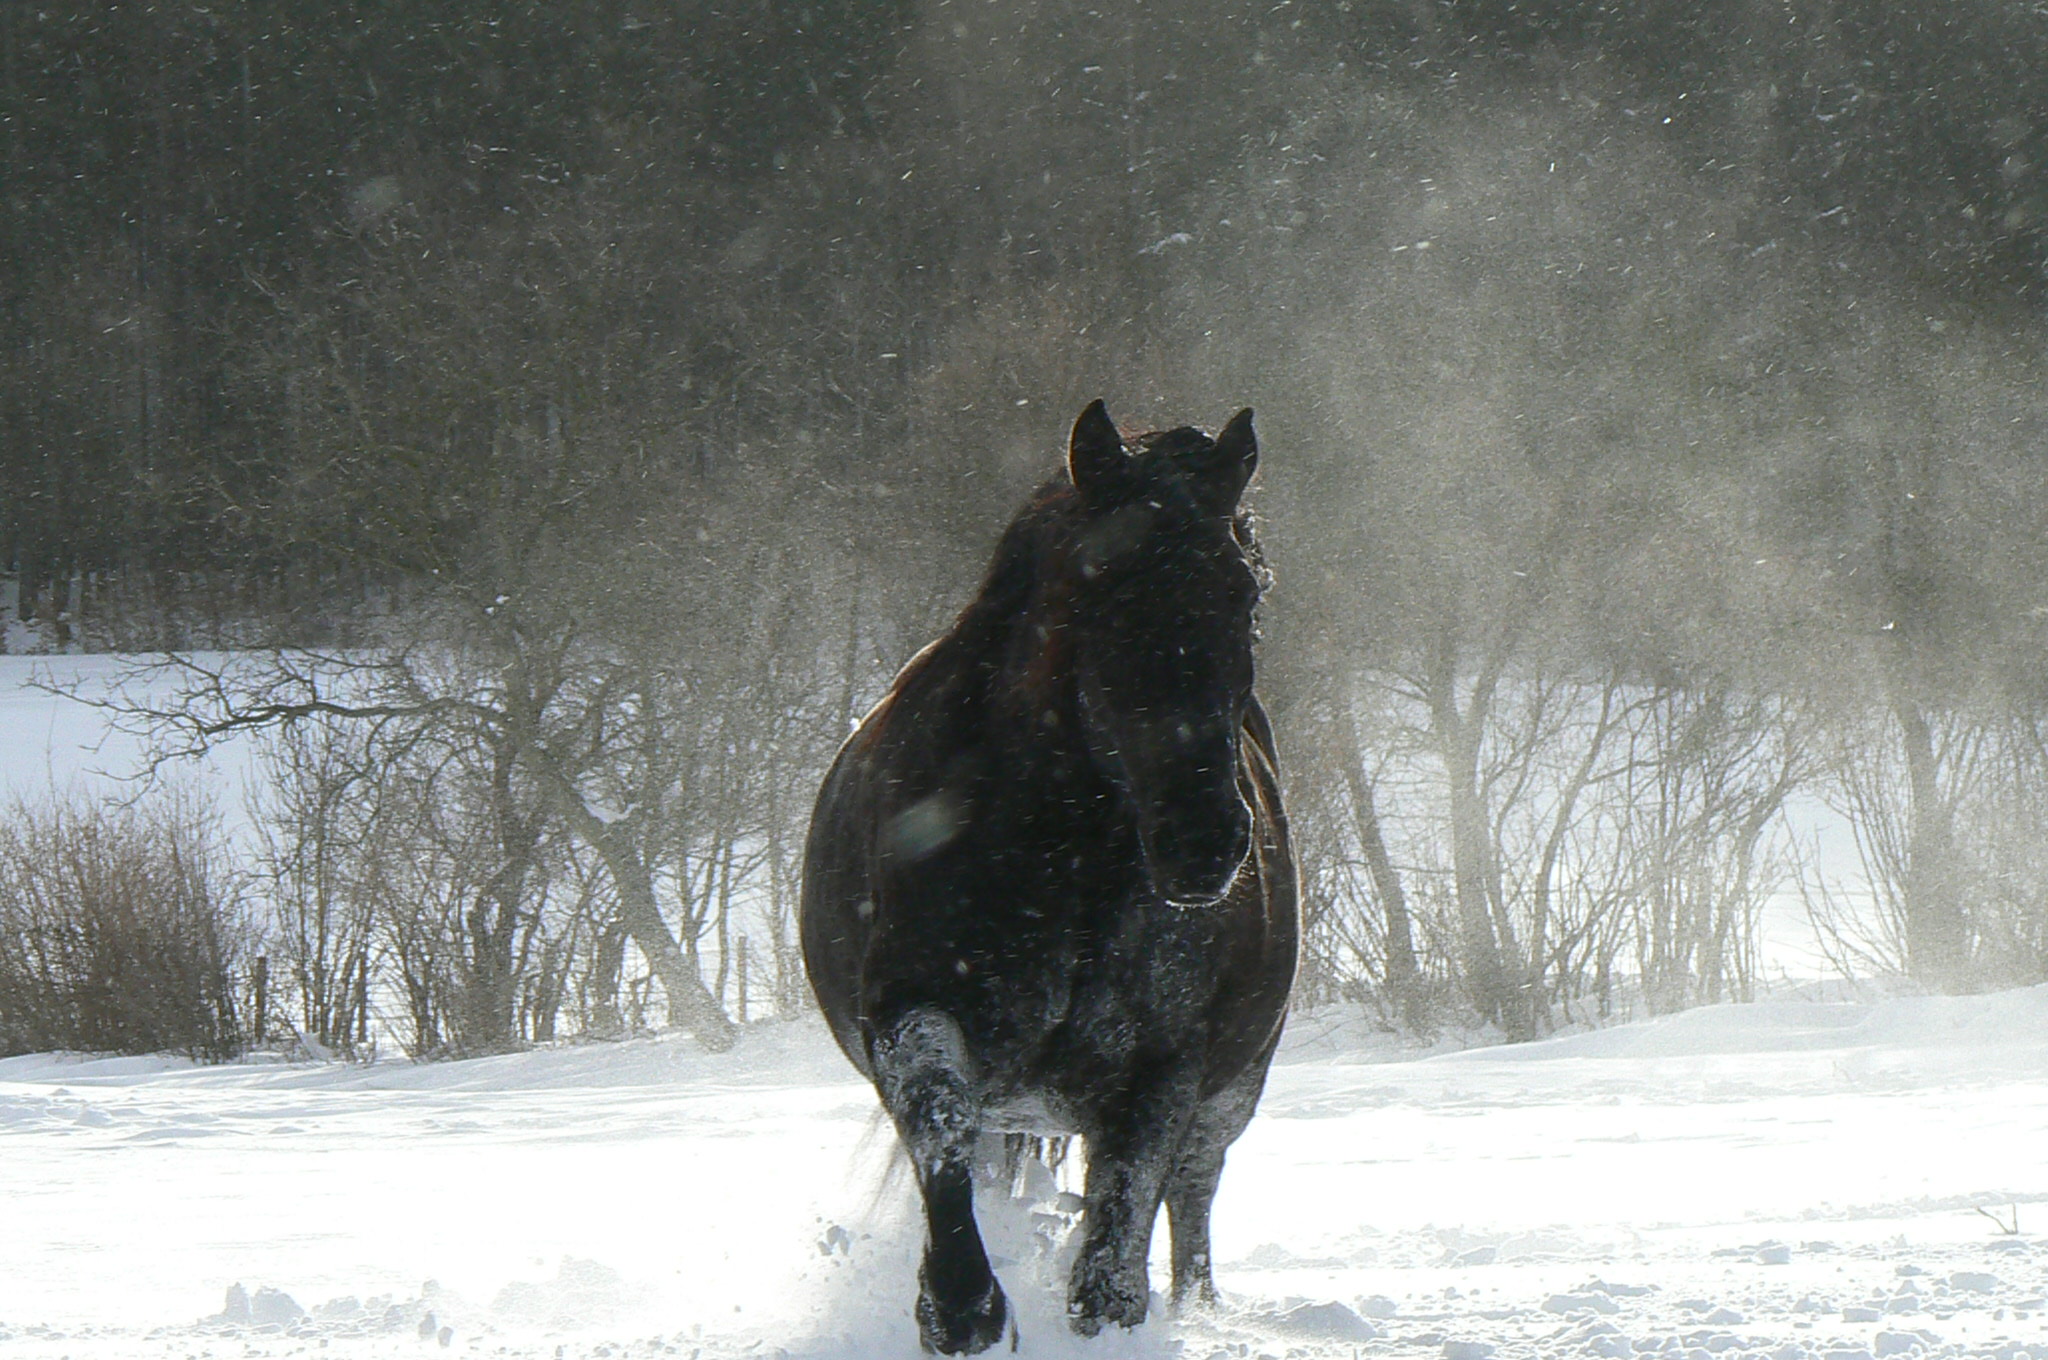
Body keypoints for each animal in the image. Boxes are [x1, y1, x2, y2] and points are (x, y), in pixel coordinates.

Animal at [798, 399, 1294, 1351]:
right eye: (1098, 585)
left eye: (1244, 593)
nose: (1204, 840)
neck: (1062, 871)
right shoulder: (915, 1017)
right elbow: (944, 1141)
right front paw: (961, 1311)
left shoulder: (1161, 1075)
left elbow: (1114, 1258)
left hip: (1231, 1091)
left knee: (1194, 1196)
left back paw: (1200, 1308)